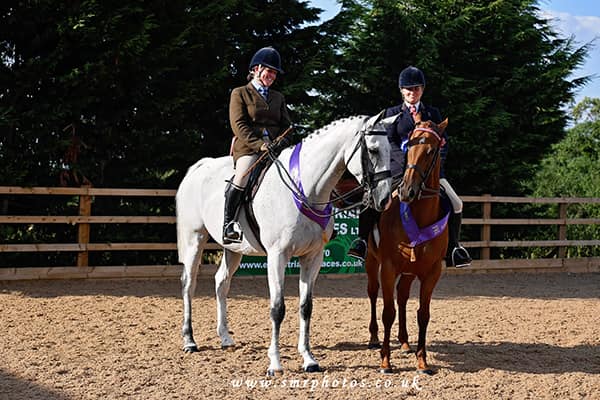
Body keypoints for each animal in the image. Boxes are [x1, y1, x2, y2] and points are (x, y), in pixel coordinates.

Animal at [176, 113, 394, 376]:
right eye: (372, 150)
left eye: (390, 150)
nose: (384, 199)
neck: (306, 188)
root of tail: (200, 166)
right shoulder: (277, 256)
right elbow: (277, 308)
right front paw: (275, 364)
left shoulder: (313, 256)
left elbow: (306, 307)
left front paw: (309, 359)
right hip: (194, 239)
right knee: (189, 284)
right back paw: (189, 341)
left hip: (233, 249)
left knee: (221, 282)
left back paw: (225, 337)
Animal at [365, 116, 449, 375]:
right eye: (408, 146)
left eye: (431, 151)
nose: (406, 191)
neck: (419, 216)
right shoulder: (388, 268)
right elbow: (387, 312)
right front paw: (385, 362)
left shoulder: (432, 272)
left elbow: (423, 314)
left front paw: (422, 361)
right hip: (371, 262)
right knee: (373, 293)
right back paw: (374, 339)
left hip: (411, 271)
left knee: (402, 296)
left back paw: (404, 342)